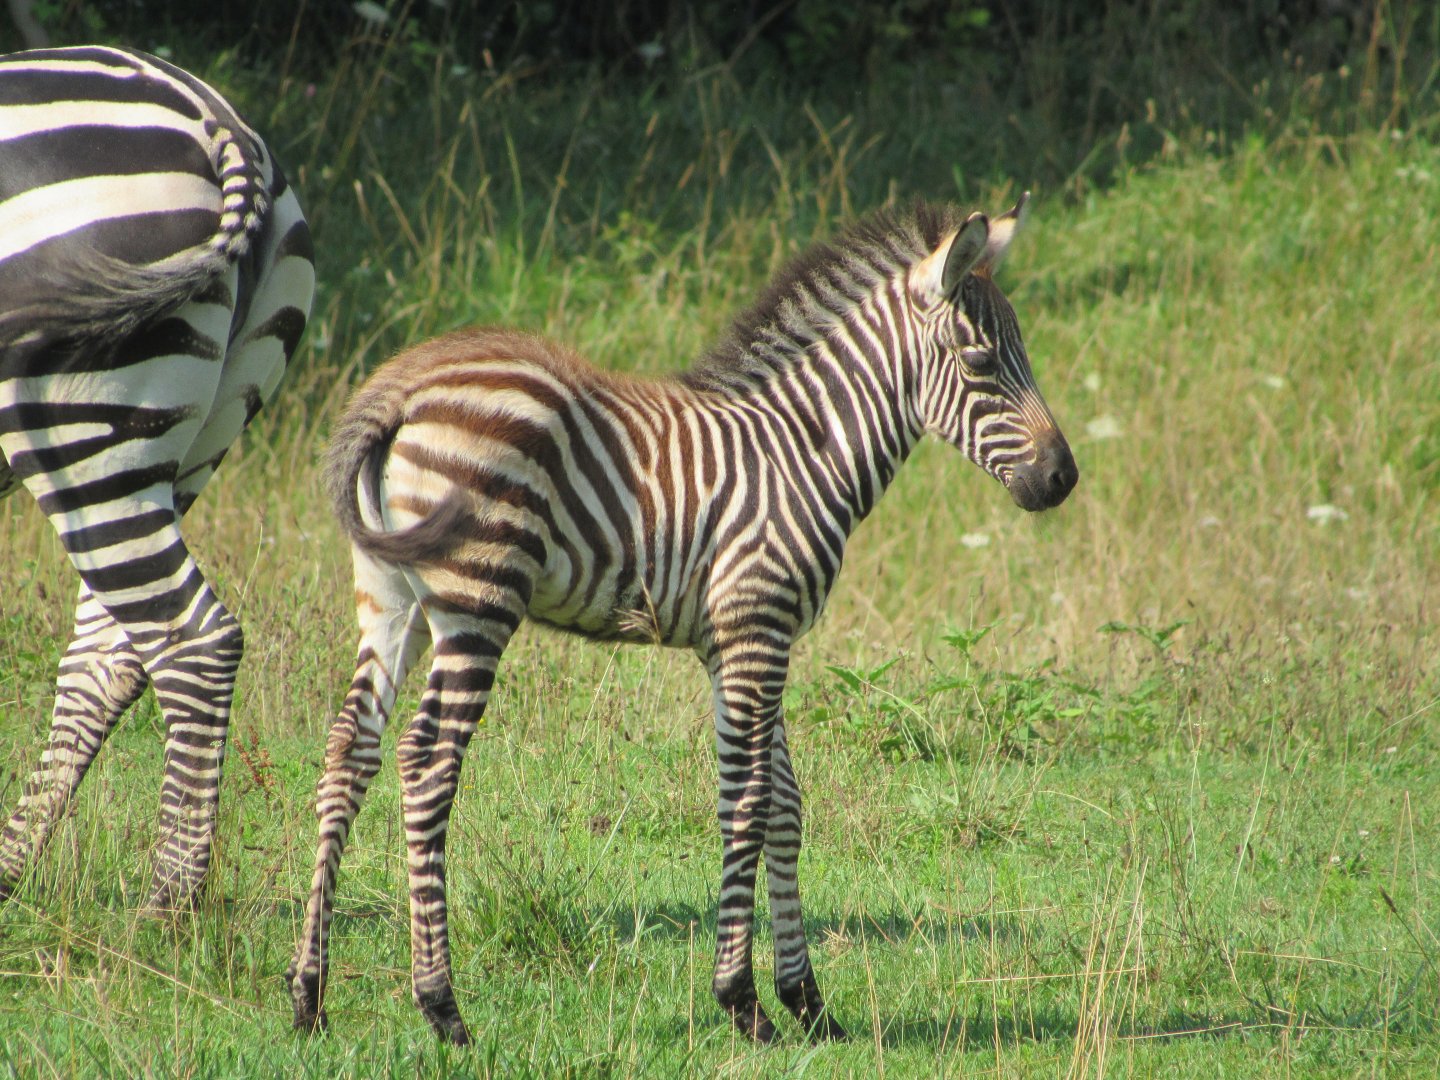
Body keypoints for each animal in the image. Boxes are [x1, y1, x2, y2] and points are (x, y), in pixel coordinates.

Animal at [0, 45, 314, 909]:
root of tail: (214, 116)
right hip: (188, 438)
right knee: (111, 652)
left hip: (85, 418)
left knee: (191, 638)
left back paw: (168, 906)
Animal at [286, 195, 1076, 1044]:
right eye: (981, 364)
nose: (1063, 479)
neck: (806, 451)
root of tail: (398, 388)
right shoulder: (758, 628)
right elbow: (746, 803)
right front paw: (743, 1001)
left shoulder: (740, 637)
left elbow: (785, 805)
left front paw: (808, 1001)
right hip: (477, 599)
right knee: (427, 765)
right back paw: (442, 1006)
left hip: (389, 598)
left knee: (350, 752)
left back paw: (309, 994)